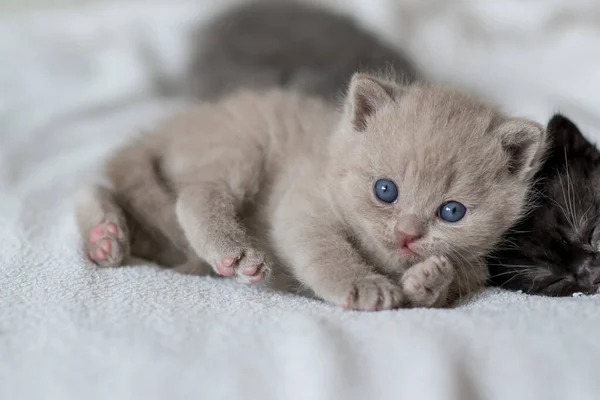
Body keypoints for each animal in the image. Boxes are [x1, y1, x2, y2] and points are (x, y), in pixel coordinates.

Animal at [76, 73, 548, 310]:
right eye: (385, 190)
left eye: (452, 212)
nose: (408, 234)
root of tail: (173, 124)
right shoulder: (302, 203)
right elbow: (325, 251)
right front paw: (364, 285)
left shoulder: (477, 266)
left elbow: (457, 282)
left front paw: (429, 279)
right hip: (240, 148)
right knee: (194, 195)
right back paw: (233, 253)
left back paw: (105, 238)